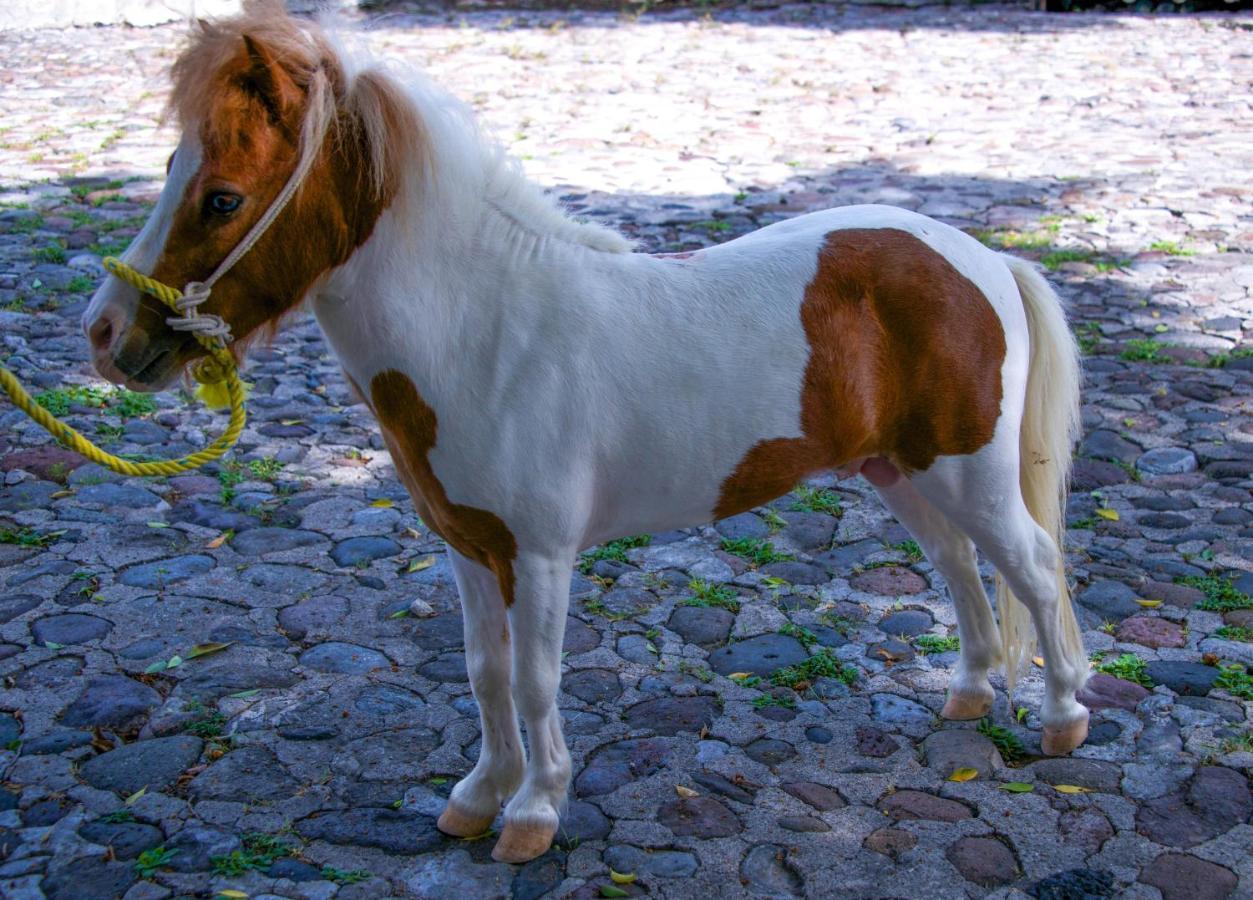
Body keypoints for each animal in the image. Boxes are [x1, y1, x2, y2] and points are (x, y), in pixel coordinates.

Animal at [83, 1, 1092, 867]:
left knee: (1032, 569)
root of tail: (979, 258)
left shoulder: (539, 556)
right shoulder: (467, 548)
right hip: (898, 470)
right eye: (170, 170)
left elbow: (535, 679)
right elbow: (485, 673)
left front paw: (533, 814)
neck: (489, 334)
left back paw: (1061, 720)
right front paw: (476, 798)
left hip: (966, 473)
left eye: (222, 197)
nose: (106, 335)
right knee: (958, 566)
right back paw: (967, 696)